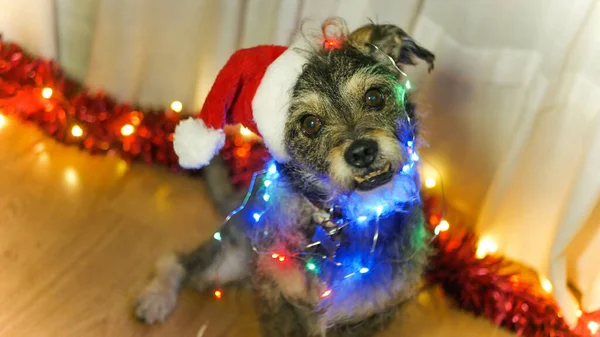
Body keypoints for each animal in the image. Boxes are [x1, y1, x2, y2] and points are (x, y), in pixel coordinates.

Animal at [135, 19, 436, 336]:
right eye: (310, 124)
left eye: (374, 97)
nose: (362, 152)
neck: (340, 220)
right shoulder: (277, 296)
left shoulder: (369, 314)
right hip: (229, 260)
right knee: (178, 261)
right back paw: (156, 298)